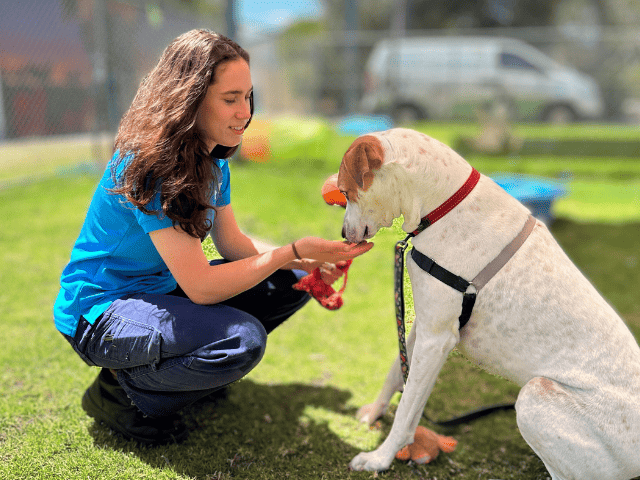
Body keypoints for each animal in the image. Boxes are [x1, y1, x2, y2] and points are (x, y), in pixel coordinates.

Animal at [338, 128, 636, 480]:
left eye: (344, 191)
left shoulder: (437, 339)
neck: (444, 204)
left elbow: (408, 409)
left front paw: (379, 458)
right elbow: (395, 375)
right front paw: (373, 415)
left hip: (535, 395)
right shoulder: (424, 324)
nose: (342, 233)